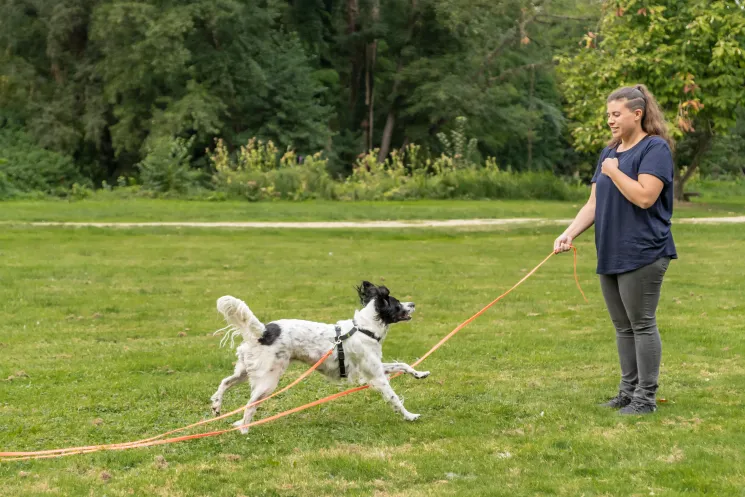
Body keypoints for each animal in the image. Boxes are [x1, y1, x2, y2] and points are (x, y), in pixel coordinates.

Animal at [209, 280, 430, 430]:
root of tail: (263, 332)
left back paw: (217, 406)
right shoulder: (376, 377)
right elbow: (394, 398)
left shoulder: (372, 368)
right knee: (249, 405)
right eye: (397, 303)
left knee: (225, 382)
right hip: (267, 380)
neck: (364, 328)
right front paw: (410, 416)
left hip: (246, 371)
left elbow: (403, 365)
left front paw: (420, 374)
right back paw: (244, 429)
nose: (413, 303)